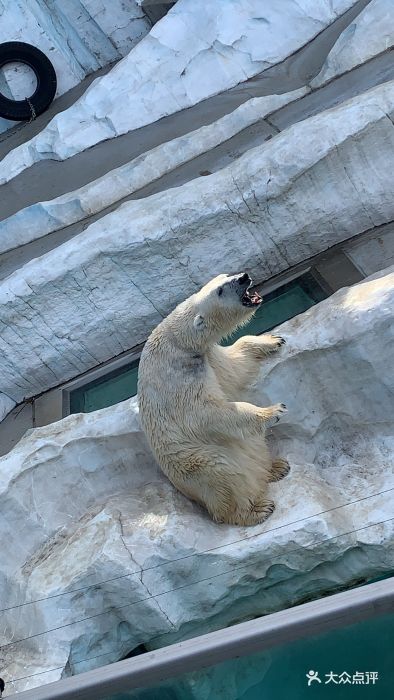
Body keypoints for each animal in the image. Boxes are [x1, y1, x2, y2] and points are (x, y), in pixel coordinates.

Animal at [139, 274, 290, 524]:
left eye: (226, 275)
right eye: (220, 290)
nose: (244, 277)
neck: (176, 343)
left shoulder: (207, 357)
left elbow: (234, 367)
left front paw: (272, 339)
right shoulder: (179, 378)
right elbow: (207, 414)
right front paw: (273, 411)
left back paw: (276, 467)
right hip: (198, 465)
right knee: (225, 474)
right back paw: (257, 509)